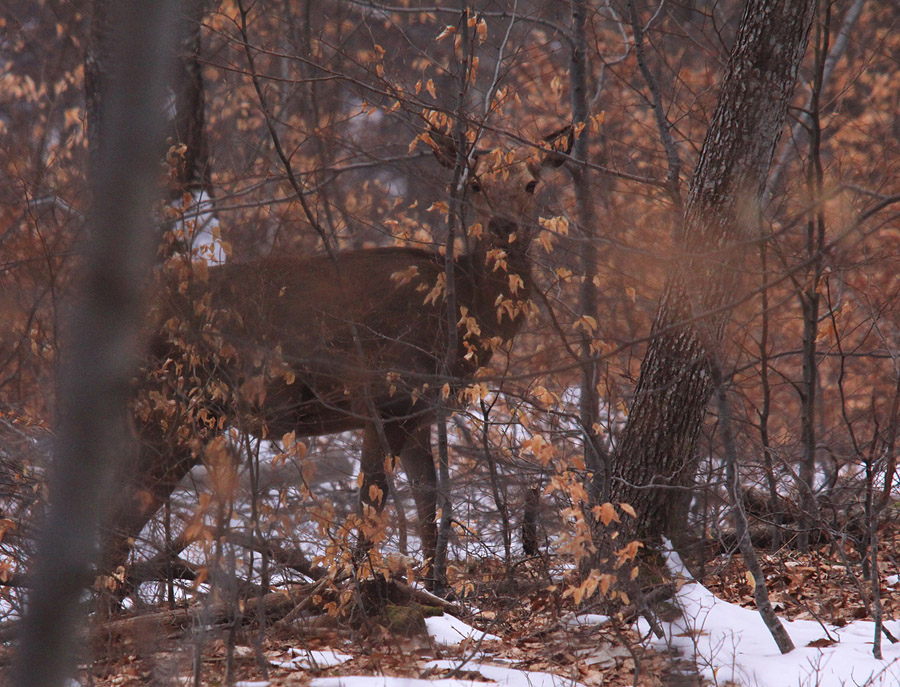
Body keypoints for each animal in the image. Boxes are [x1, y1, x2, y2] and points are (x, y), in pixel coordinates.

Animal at [105, 126, 568, 588]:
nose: (503, 225)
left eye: (532, 183)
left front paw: (437, 587)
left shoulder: (420, 414)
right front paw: (363, 582)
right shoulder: (385, 397)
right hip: (177, 406)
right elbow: (372, 501)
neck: (461, 314)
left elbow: (426, 503)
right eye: (475, 183)